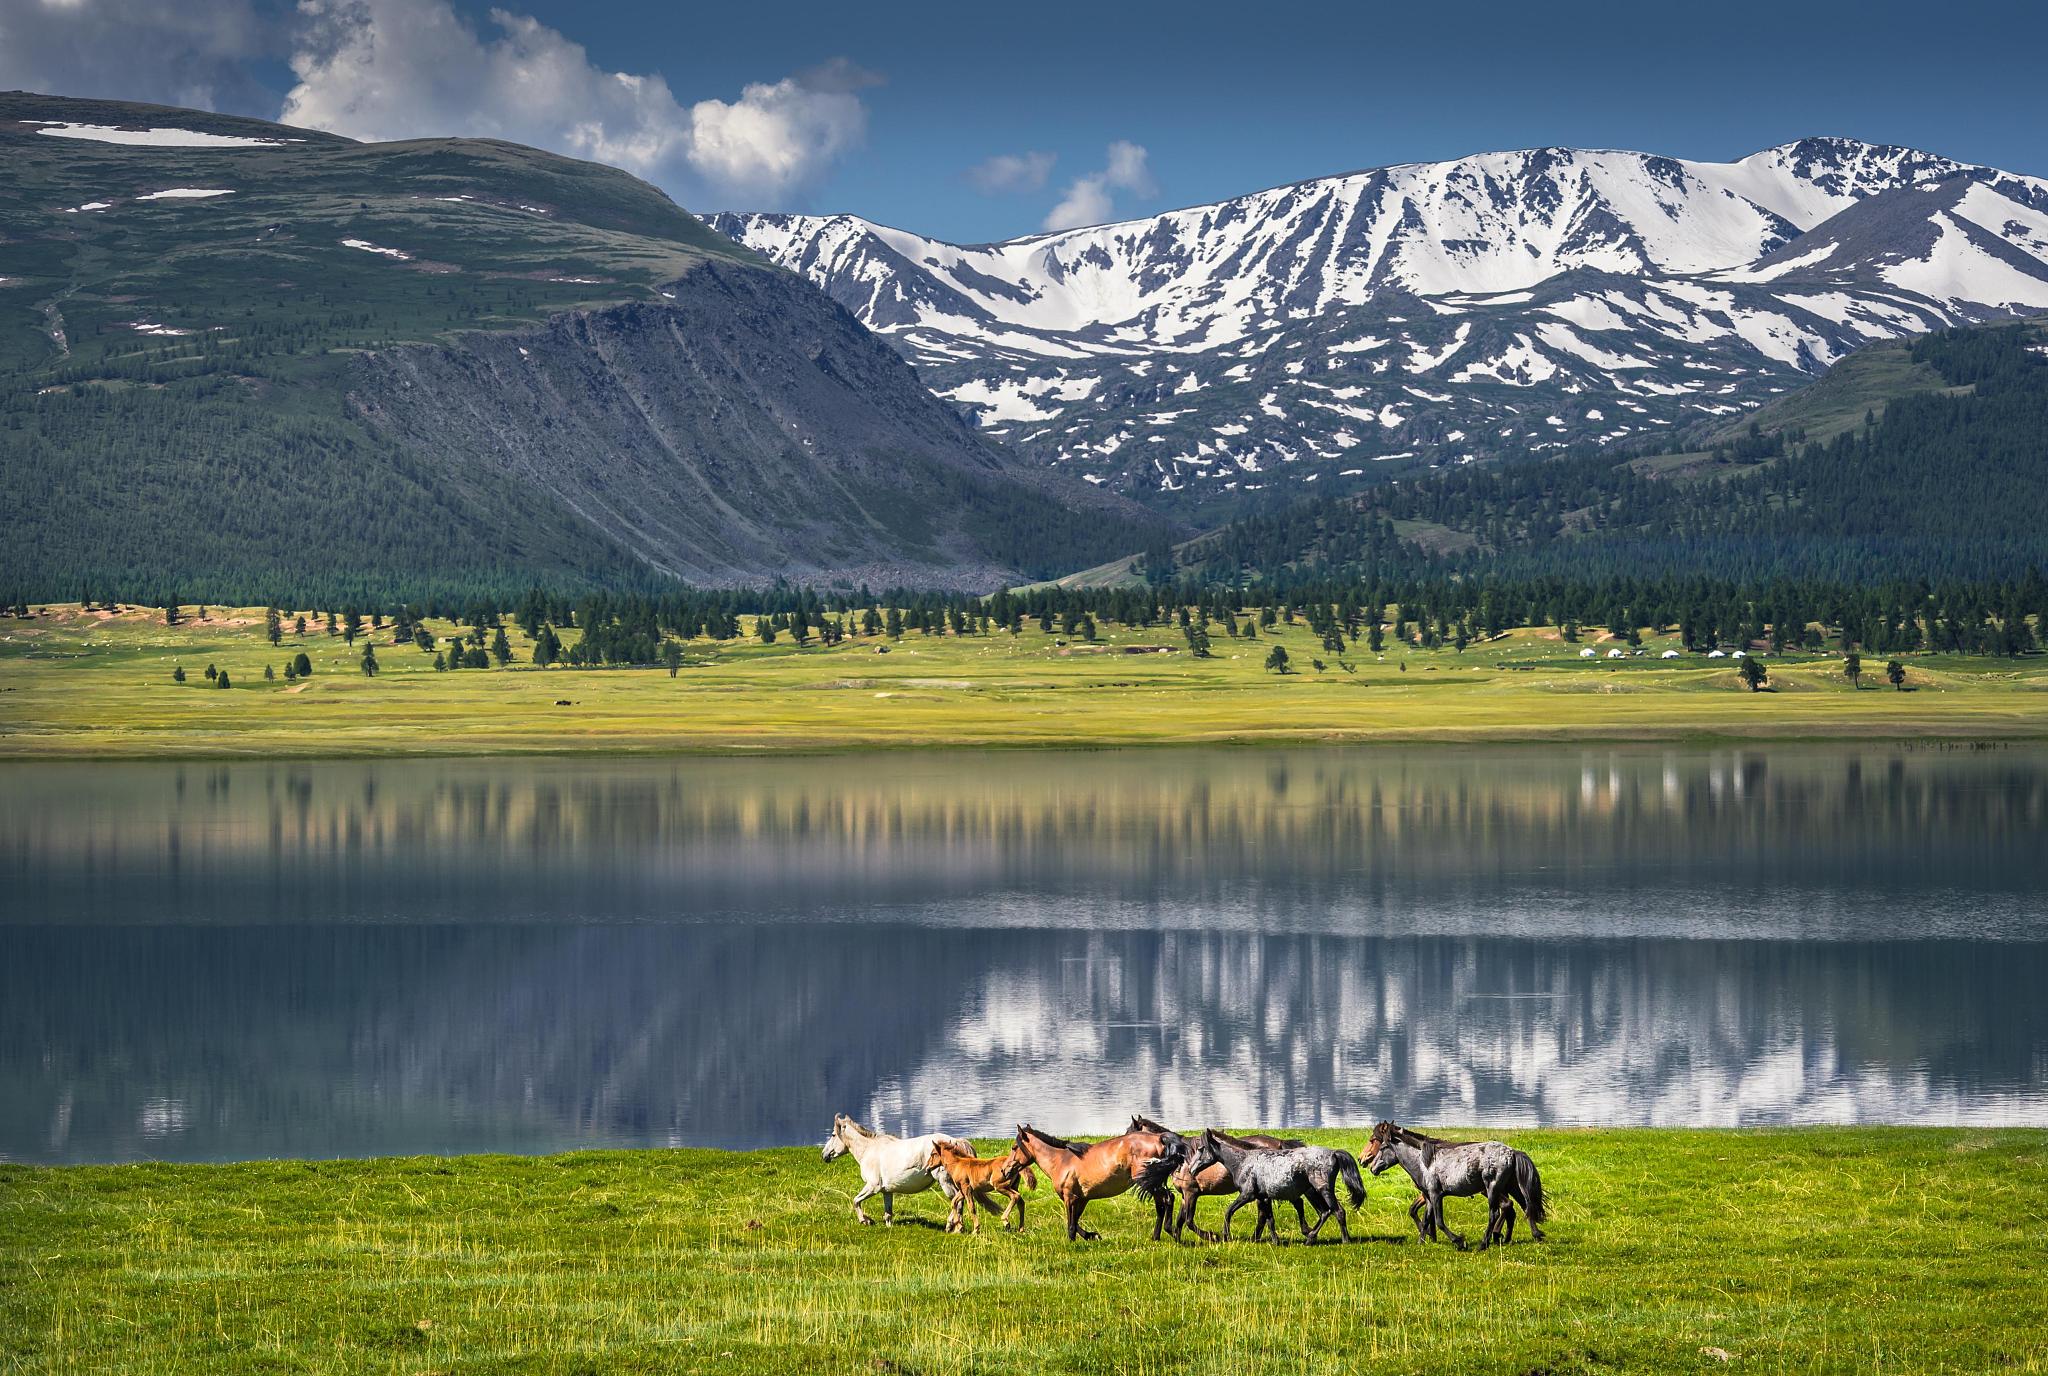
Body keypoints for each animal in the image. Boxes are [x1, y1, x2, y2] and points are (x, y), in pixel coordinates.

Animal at [820, 1113, 970, 1226]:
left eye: (833, 1135)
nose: (824, 1155)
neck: (868, 1150)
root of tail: (956, 1141)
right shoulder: (886, 1191)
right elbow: (888, 1213)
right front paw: (888, 1227)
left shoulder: (873, 1186)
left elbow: (856, 1200)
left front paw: (865, 1220)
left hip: (945, 1181)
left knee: (957, 1200)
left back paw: (952, 1226)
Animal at [1010, 1122, 1187, 1241]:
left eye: (1014, 1147)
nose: (1007, 1170)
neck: (1061, 1160)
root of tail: (1159, 1138)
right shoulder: (1082, 1199)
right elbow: (1076, 1221)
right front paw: (1092, 1235)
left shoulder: (1069, 1197)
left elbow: (1071, 1223)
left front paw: (1074, 1239)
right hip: (1152, 1182)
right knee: (1162, 1204)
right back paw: (1157, 1236)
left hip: (1146, 1181)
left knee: (1167, 1199)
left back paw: (1171, 1231)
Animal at [1126, 1115, 1311, 1242]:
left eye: (1129, 1133)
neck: (1183, 1158)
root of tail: (1279, 1143)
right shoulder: (1185, 1195)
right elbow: (1180, 1220)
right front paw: (1178, 1240)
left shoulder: (1191, 1193)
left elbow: (1188, 1221)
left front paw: (1212, 1236)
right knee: (1268, 1213)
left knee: (1281, 1208)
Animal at [1186, 1128, 1366, 1244]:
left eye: (1201, 1149)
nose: (1191, 1169)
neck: (1244, 1162)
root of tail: (1334, 1153)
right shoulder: (1263, 1197)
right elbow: (1270, 1219)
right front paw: (1275, 1241)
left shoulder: (1247, 1195)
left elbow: (1228, 1211)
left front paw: (1225, 1236)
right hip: (1317, 1192)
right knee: (1325, 1212)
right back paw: (1310, 1238)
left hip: (1323, 1190)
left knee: (1337, 1211)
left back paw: (1344, 1240)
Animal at [1365, 1120, 1546, 1250]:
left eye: (1382, 1146)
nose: (1371, 1167)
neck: (1425, 1162)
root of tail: (1513, 1153)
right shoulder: (1428, 1197)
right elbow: (1425, 1219)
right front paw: (1421, 1242)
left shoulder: (1436, 1195)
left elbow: (1438, 1221)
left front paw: (1459, 1241)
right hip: (1511, 1186)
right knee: (1525, 1206)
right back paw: (1533, 1235)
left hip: (1492, 1189)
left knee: (1496, 1213)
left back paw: (1484, 1243)